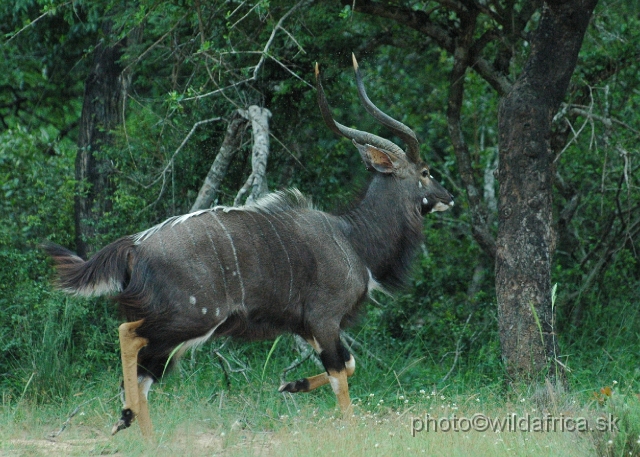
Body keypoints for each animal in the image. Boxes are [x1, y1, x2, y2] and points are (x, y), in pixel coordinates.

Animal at [45, 55, 452, 436]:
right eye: (426, 172)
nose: (448, 198)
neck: (352, 239)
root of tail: (135, 246)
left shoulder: (307, 327)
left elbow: (348, 365)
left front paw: (291, 384)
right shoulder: (324, 320)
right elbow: (342, 378)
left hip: (175, 332)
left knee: (145, 374)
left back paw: (143, 434)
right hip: (191, 318)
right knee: (128, 335)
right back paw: (124, 416)